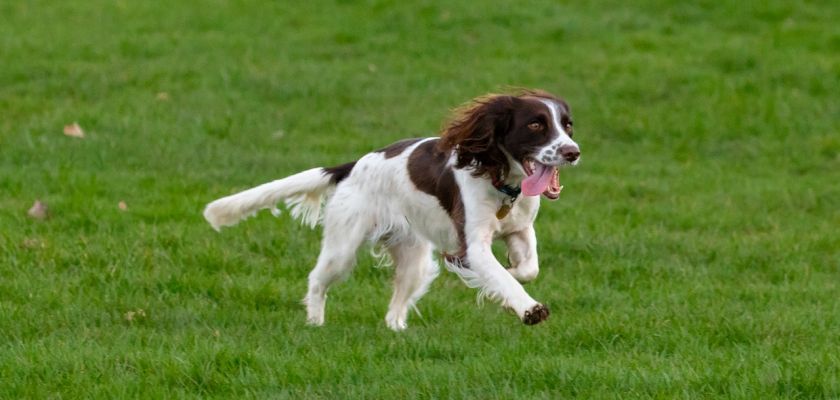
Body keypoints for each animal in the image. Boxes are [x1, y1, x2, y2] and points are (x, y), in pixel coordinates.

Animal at [207, 89, 580, 330]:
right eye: (535, 124)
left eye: (567, 125)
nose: (573, 151)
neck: (501, 179)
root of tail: (354, 165)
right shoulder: (472, 242)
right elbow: (501, 276)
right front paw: (528, 308)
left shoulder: (520, 228)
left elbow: (527, 268)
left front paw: (503, 271)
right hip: (343, 245)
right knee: (317, 279)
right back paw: (315, 321)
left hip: (413, 255)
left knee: (397, 301)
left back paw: (397, 331)